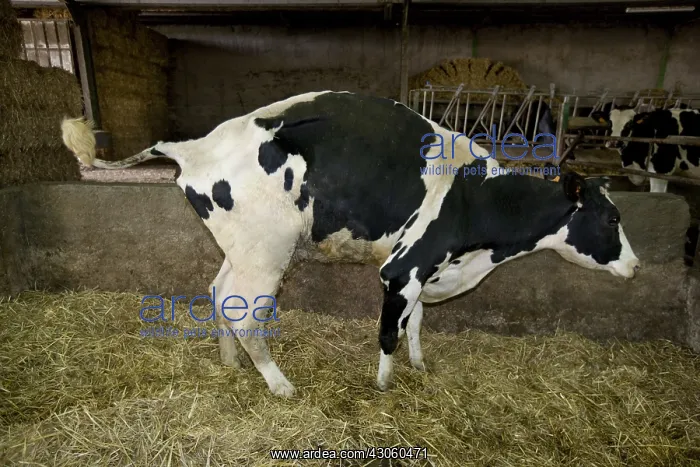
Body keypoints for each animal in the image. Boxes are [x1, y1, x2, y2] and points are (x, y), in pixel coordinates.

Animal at [61, 91, 641, 398]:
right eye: (612, 218)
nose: (637, 266)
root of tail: (197, 144)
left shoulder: (420, 270)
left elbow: (415, 324)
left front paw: (419, 366)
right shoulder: (401, 269)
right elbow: (388, 330)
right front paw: (384, 385)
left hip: (242, 250)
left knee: (219, 292)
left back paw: (230, 364)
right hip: (267, 253)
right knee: (244, 313)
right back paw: (280, 384)